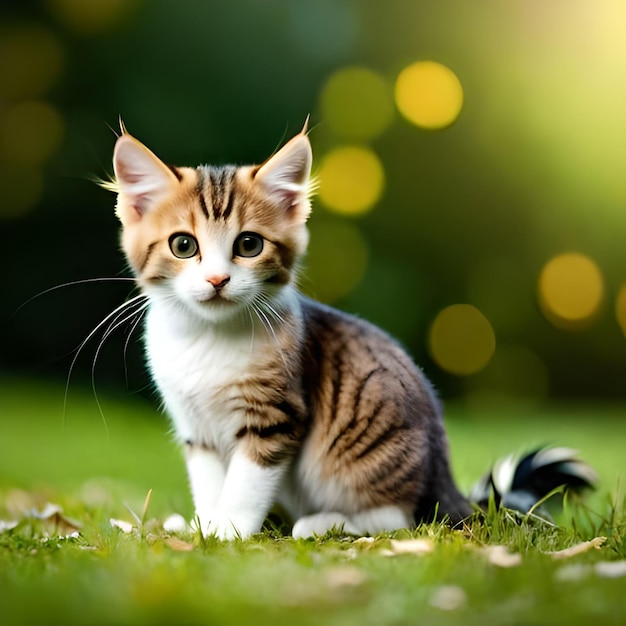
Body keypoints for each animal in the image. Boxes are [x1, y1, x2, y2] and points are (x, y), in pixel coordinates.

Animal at [108, 122, 472, 536]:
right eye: (183, 245)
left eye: (249, 244)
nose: (217, 279)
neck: (208, 337)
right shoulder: (196, 427)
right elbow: (209, 483)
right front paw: (202, 526)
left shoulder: (278, 415)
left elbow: (246, 483)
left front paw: (228, 531)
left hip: (367, 455)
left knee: (400, 517)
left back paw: (324, 523)